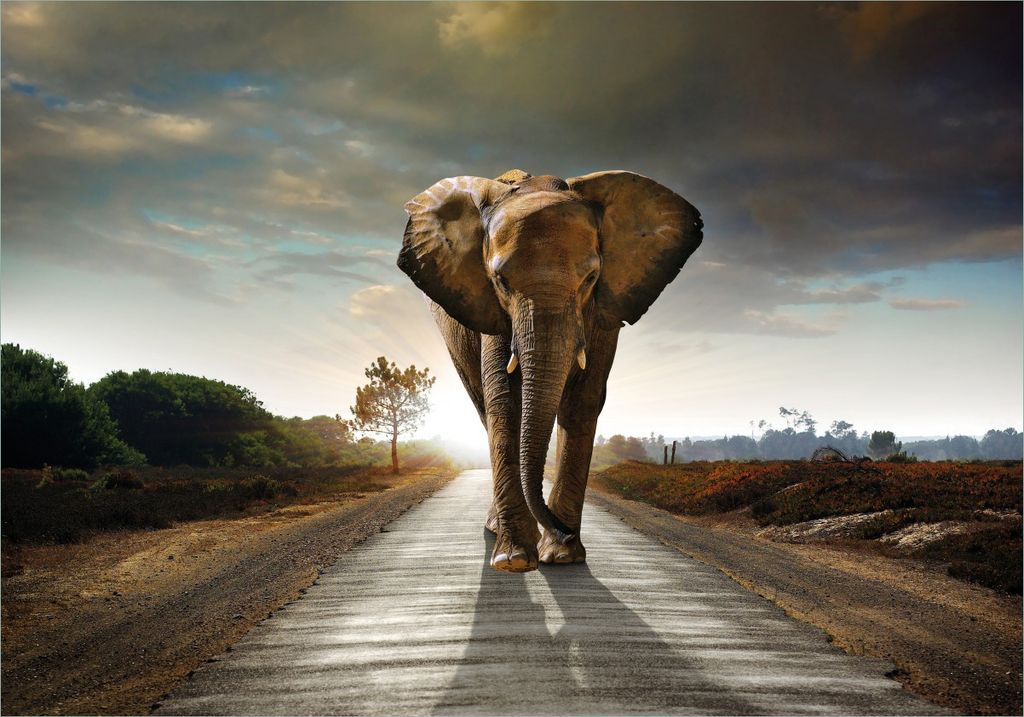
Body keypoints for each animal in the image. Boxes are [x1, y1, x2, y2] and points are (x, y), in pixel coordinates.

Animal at [398, 168, 702, 572]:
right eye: (501, 281)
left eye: (591, 278)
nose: (563, 531)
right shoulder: (492, 311)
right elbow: (505, 401)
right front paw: (514, 560)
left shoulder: (603, 311)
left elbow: (583, 401)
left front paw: (562, 556)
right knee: (483, 407)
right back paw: (498, 531)